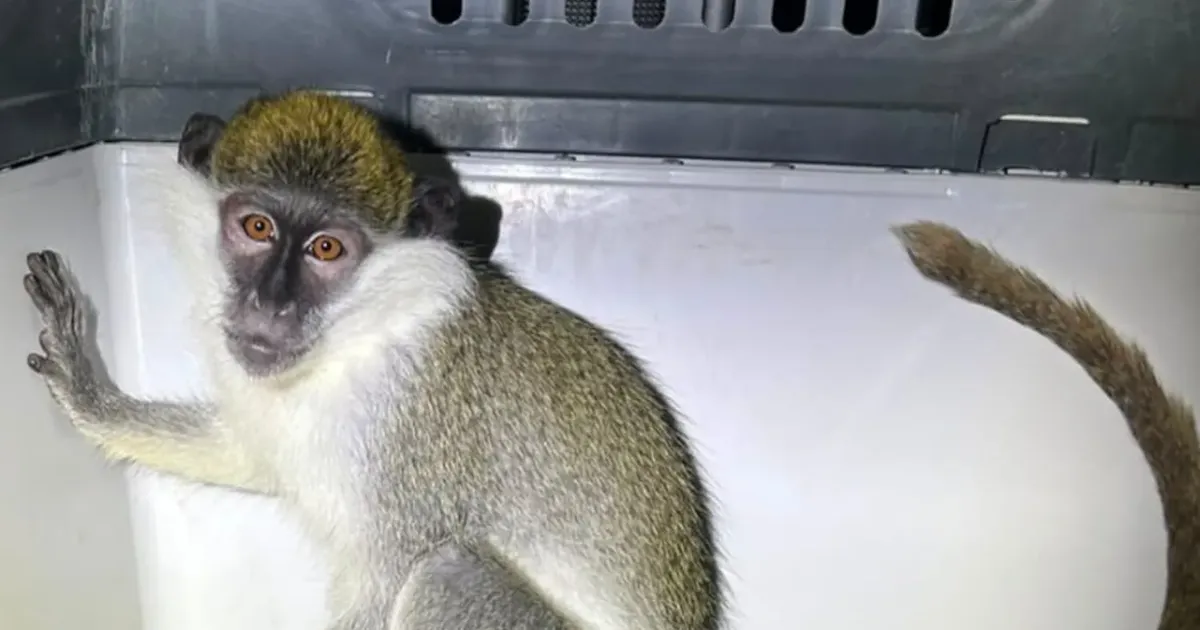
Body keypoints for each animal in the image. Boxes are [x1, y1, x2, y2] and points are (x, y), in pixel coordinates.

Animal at [22, 89, 724, 630]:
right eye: (257, 228)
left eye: (327, 248)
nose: (270, 304)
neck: (359, 337)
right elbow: (251, 456)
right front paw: (88, 392)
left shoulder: (410, 453)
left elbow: (383, 588)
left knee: (446, 574)